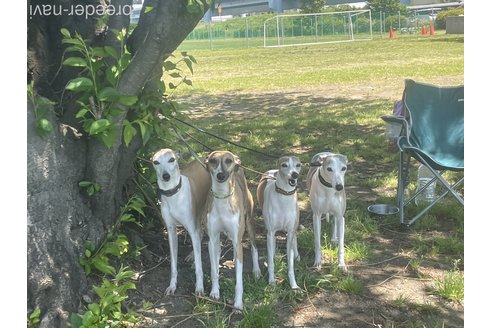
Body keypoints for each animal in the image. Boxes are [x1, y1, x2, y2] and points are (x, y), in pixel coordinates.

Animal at [151, 149, 210, 294]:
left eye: (171, 159)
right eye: (156, 162)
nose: (166, 176)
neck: (174, 194)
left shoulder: (191, 228)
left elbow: (199, 267)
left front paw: (199, 288)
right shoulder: (171, 231)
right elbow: (173, 264)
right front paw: (172, 285)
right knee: (200, 234)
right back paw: (192, 256)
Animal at [204, 151, 262, 310]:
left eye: (228, 161)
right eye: (213, 161)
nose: (220, 175)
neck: (222, 197)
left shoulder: (237, 238)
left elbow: (239, 279)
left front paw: (238, 303)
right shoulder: (212, 239)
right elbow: (213, 269)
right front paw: (215, 291)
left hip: (249, 223)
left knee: (254, 247)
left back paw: (256, 271)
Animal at [256, 156, 302, 290]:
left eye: (298, 165)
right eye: (284, 165)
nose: (295, 175)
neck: (284, 195)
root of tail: (272, 171)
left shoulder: (290, 232)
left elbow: (290, 264)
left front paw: (294, 285)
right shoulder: (271, 232)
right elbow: (270, 262)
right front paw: (271, 282)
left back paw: (297, 255)